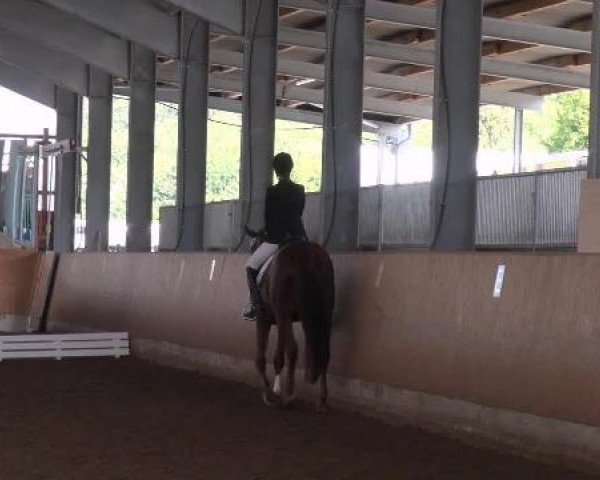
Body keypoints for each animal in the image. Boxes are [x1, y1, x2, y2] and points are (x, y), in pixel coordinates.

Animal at [247, 234, 332, 410]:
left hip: (283, 314)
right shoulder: (282, 321)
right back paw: (321, 400)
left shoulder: (264, 319)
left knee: (293, 349)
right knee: (325, 352)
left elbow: (260, 357)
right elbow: (278, 355)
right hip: (324, 313)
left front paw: (269, 393)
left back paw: (289, 396)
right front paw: (275, 389)